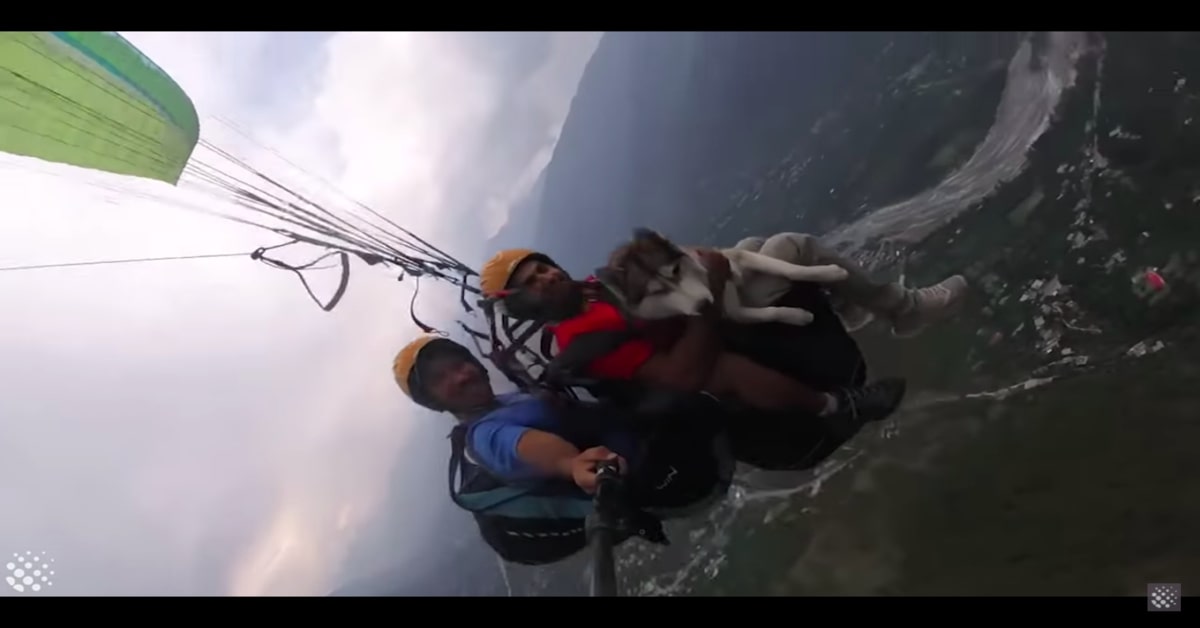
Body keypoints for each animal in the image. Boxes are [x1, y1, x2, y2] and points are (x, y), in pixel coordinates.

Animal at [595, 228, 849, 326]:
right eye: (657, 292)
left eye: (675, 271)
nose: (703, 304)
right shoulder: (732, 314)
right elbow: (768, 312)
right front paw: (796, 316)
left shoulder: (733, 258)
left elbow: (788, 268)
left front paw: (829, 272)